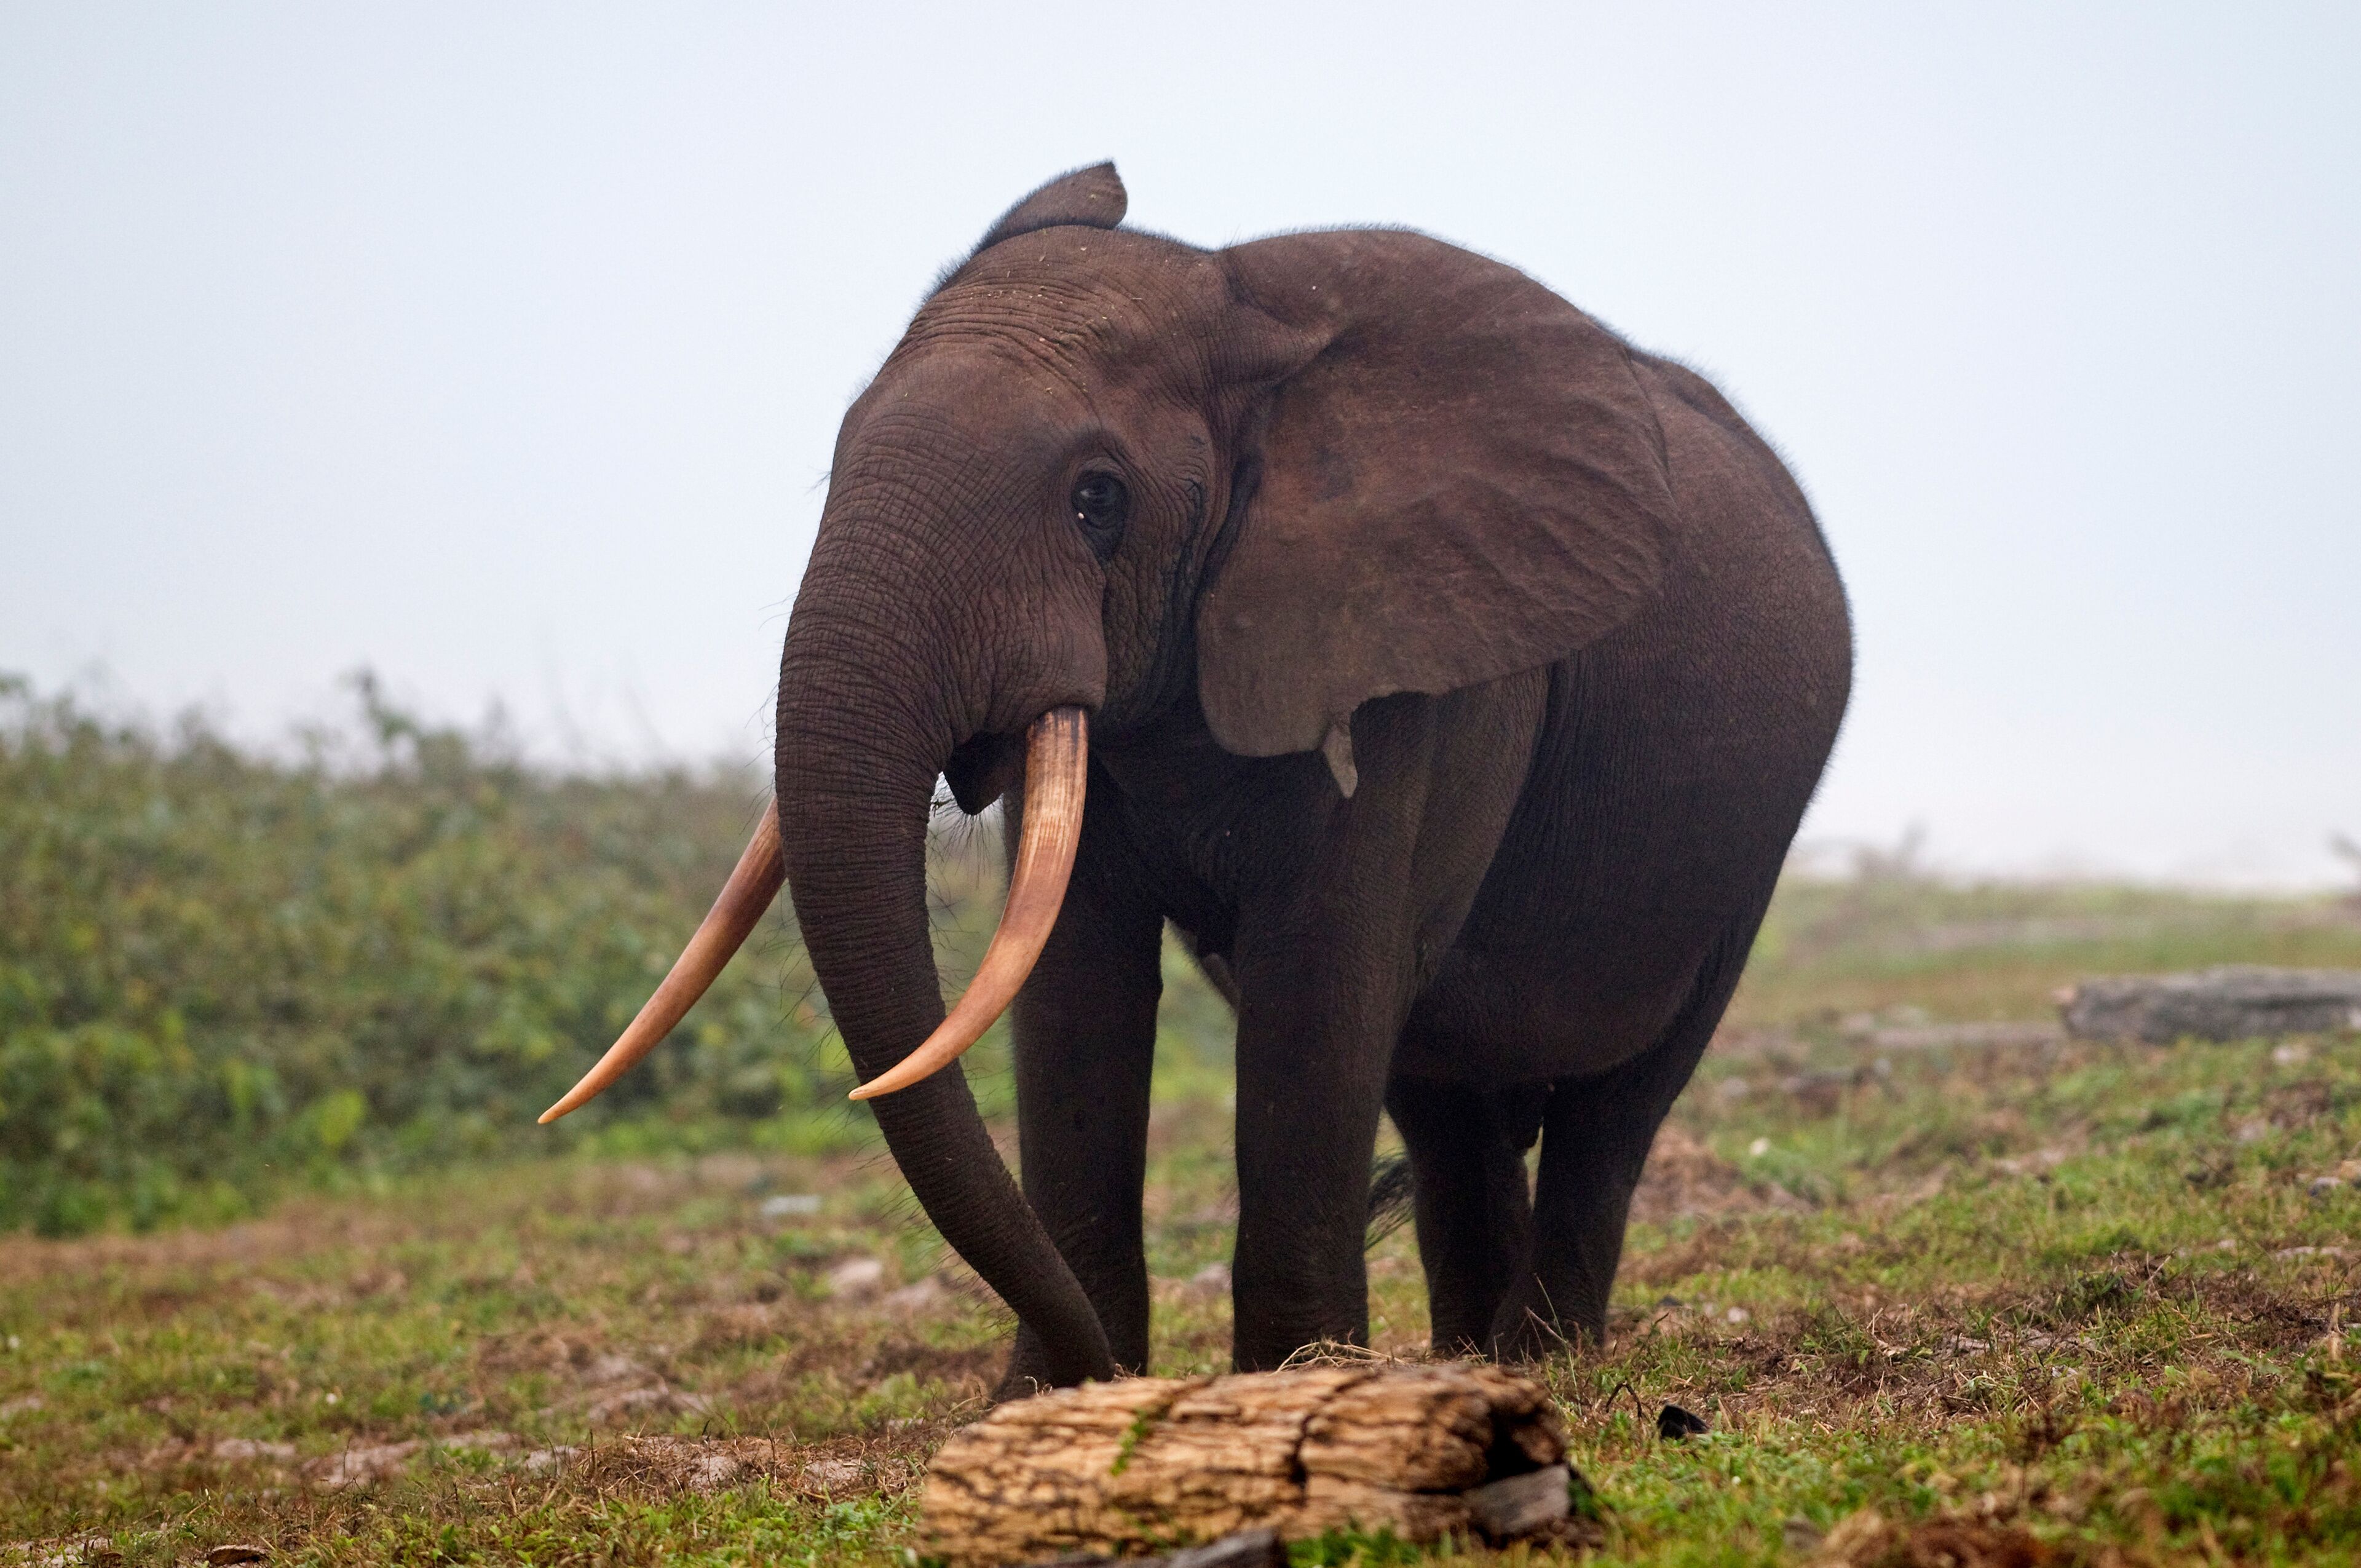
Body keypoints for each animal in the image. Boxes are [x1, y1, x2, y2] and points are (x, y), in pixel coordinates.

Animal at [542, 162, 1852, 1397]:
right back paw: (1472, 1366)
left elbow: (1319, 982)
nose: (1099, 1365)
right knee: (1444, 1105)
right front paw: (1052, 1400)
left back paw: (1541, 1365)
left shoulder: (1413, 658)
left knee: (1612, 1108)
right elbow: (1076, 985)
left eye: (1097, 500)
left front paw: (1290, 1386)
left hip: (1744, 854)